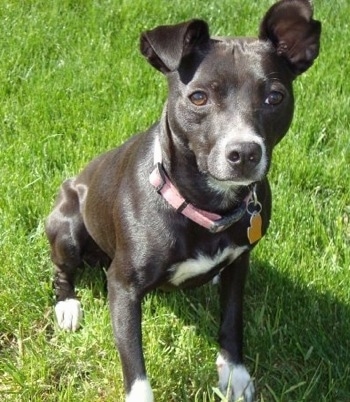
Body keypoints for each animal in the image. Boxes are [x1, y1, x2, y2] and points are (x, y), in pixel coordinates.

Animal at [45, 1, 322, 400]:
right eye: (199, 97)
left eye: (275, 96)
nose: (244, 153)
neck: (206, 204)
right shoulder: (123, 288)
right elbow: (135, 367)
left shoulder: (241, 262)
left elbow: (232, 320)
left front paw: (234, 373)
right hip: (67, 228)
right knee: (61, 271)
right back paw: (67, 305)